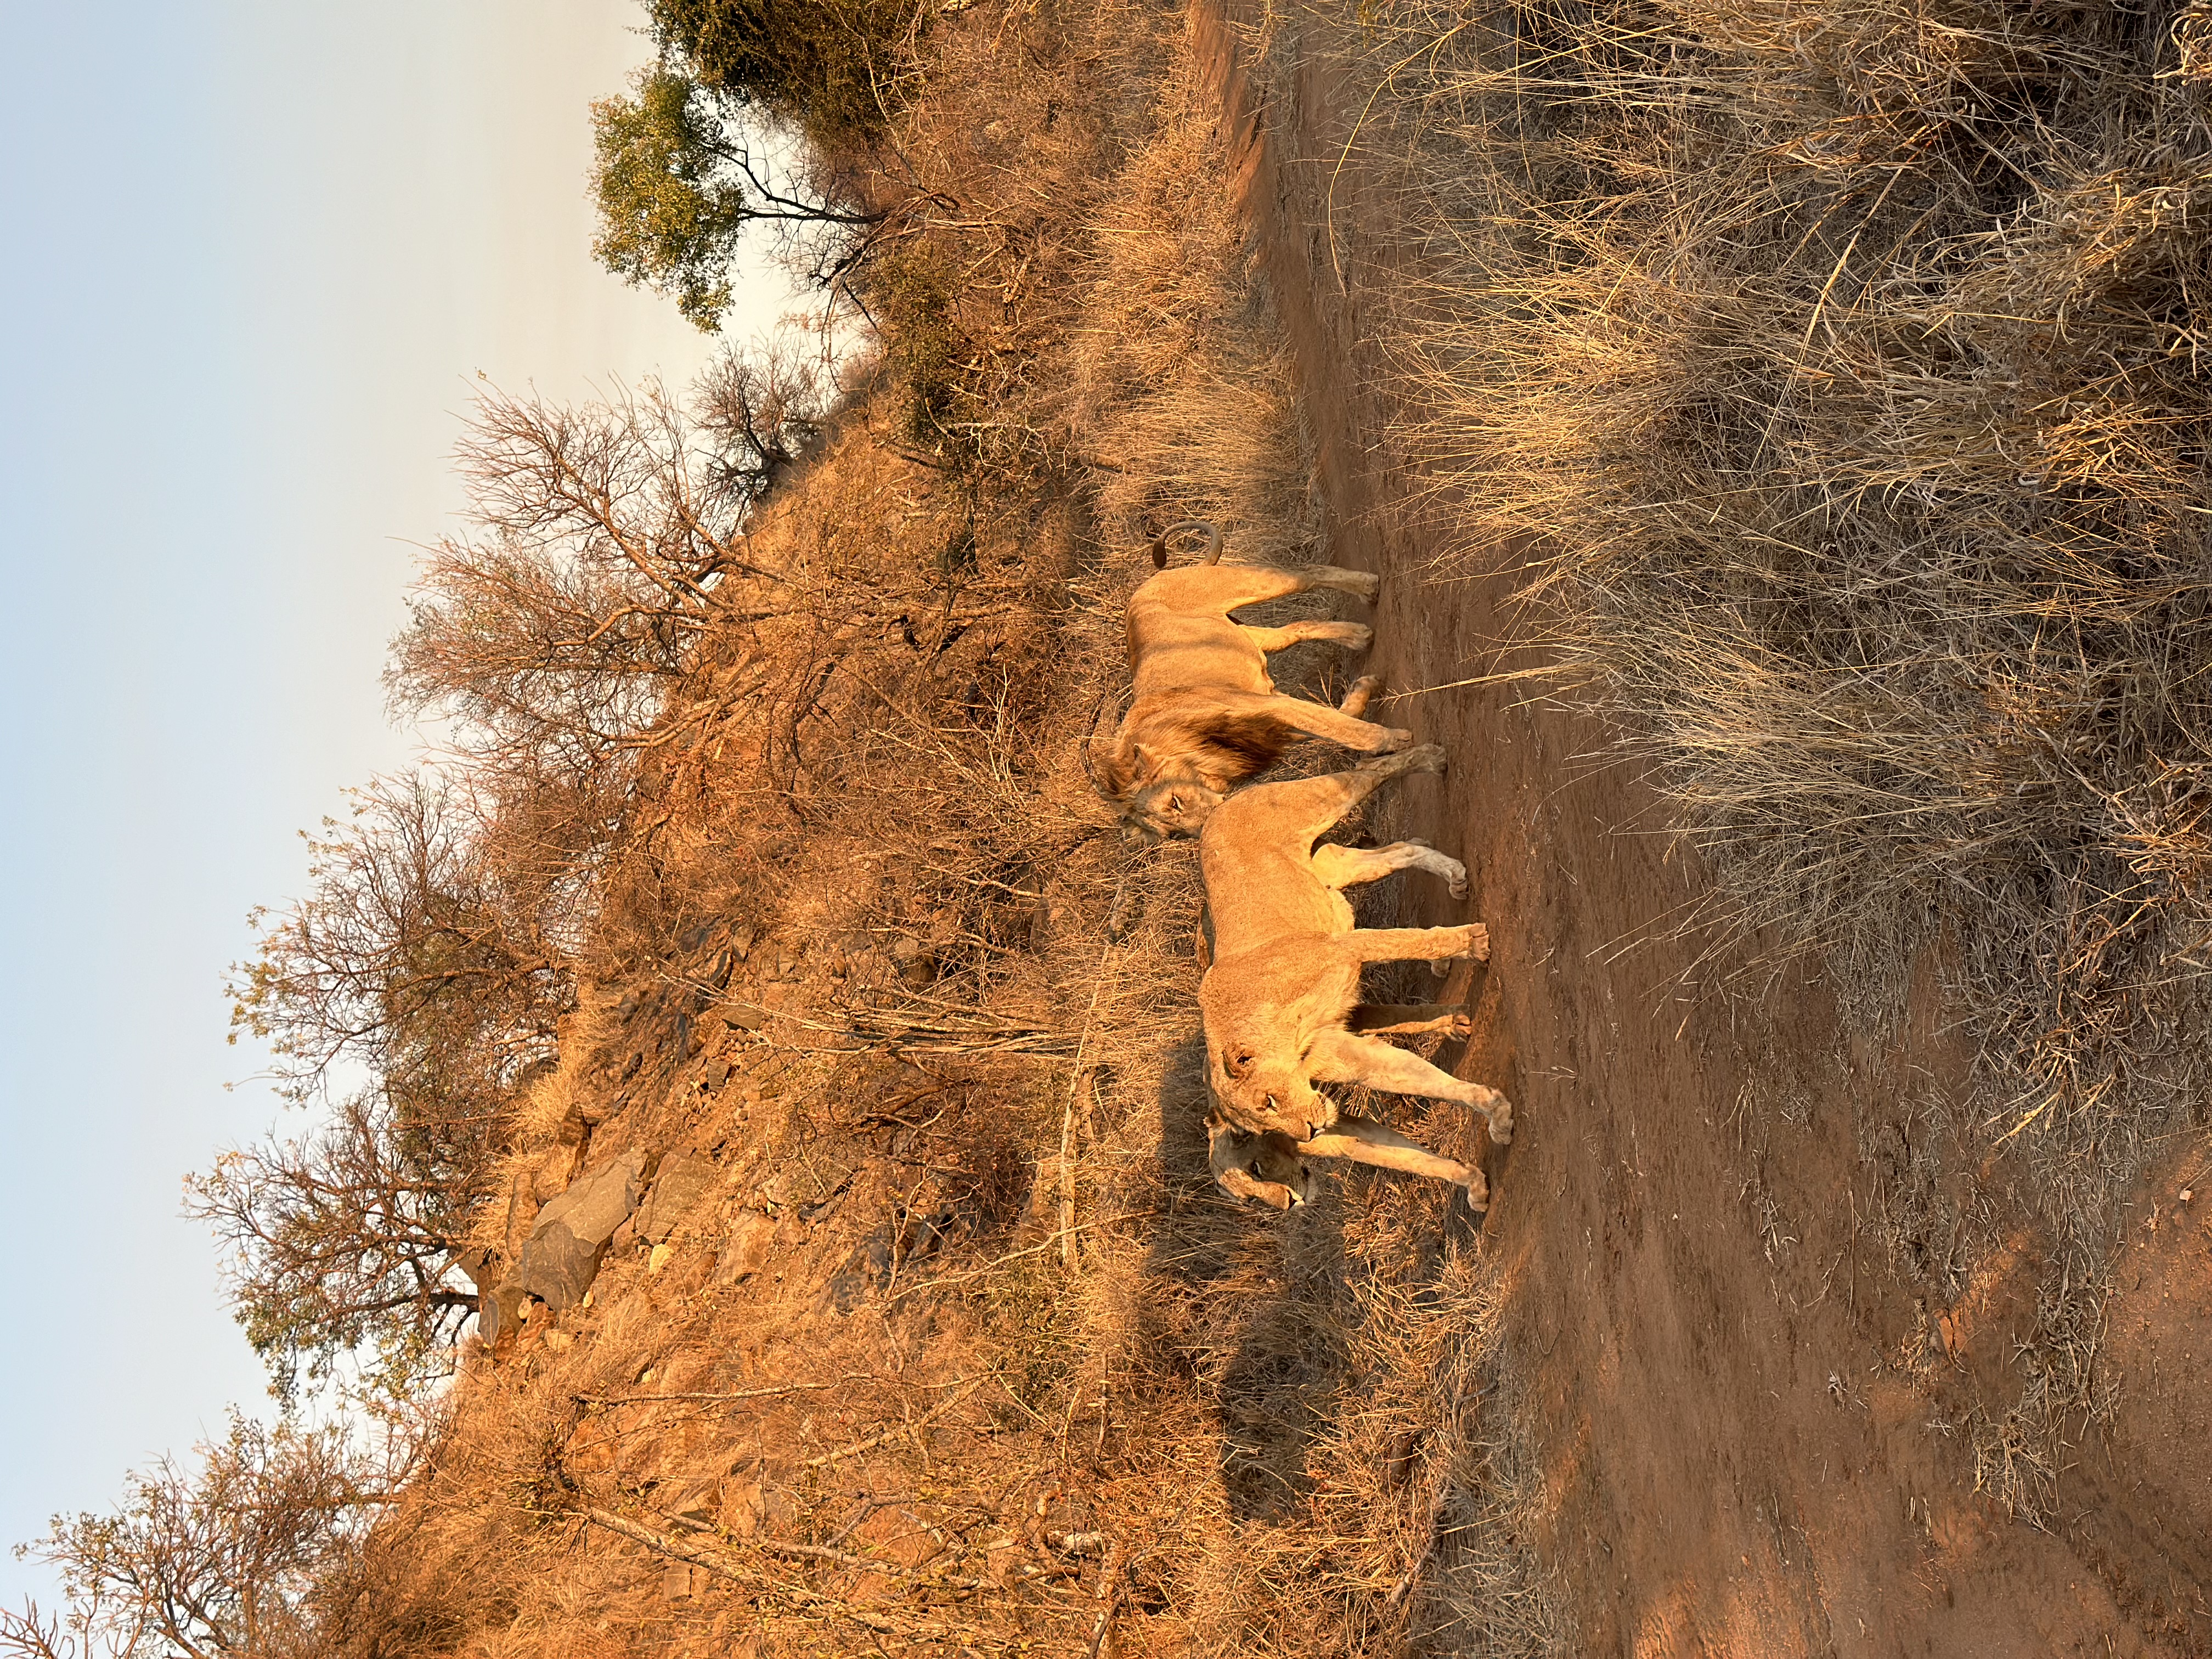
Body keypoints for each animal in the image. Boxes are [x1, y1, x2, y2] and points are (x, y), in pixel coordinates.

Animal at [1090, 520, 1412, 839]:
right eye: (1176, 835)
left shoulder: (1271, 707)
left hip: (1241, 585)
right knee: (1293, 630)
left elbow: (1344, 728)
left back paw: (1369, 587)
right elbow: (1336, 721)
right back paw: (1359, 636)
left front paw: (1397, 740)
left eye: (1175, 802)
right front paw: (1365, 692)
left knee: (1306, 573)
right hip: (1247, 636)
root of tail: (1155, 578)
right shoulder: (1278, 724)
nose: (1204, 832)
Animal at [1196, 743, 1515, 1207]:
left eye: (1269, 1103)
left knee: (1370, 771)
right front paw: (1474, 1179)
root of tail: (1218, 808)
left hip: (1319, 801)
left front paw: (1472, 944)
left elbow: (1405, 942)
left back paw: (1430, 759)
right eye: (1251, 1197)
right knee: (1368, 853)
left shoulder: (1342, 949)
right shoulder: (1338, 1055)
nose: (1290, 1203)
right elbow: (1406, 1143)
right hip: (1329, 871)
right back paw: (1449, 871)